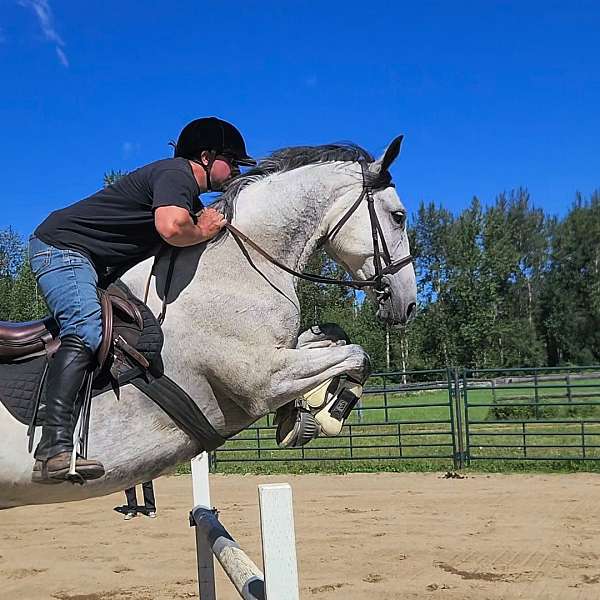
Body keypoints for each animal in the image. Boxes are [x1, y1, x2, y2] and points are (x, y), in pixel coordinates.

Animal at [0, 138, 418, 508]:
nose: (408, 303)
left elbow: (333, 337)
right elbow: (359, 356)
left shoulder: (279, 354)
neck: (239, 267)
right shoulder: (262, 379)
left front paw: (298, 415)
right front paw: (330, 415)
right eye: (398, 216)